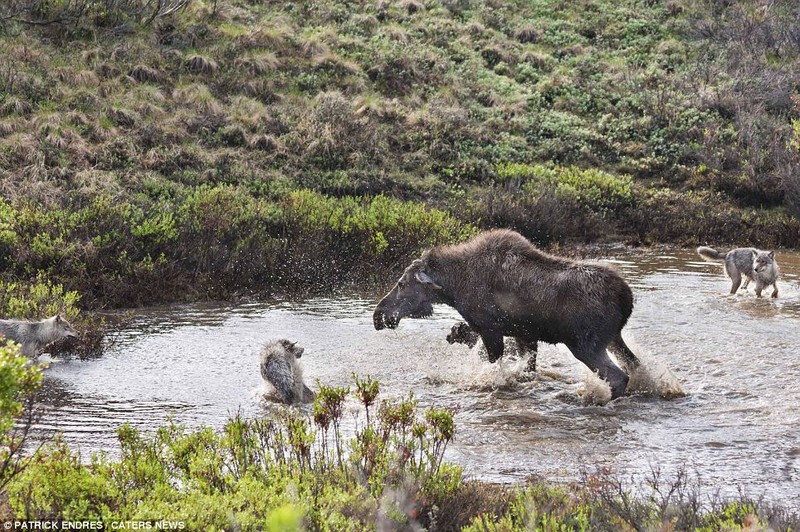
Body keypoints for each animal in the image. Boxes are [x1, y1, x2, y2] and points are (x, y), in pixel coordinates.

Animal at [372, 229, 640, 400]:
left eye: (401, 284)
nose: (379, 315)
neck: (453, 287)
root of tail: (627, 297)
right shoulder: (524, 334)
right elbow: (528, 369)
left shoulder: (489, 328)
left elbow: (494, 367)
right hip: (614, 337)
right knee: (633, 364)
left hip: (585, 344)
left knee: (619, 376)